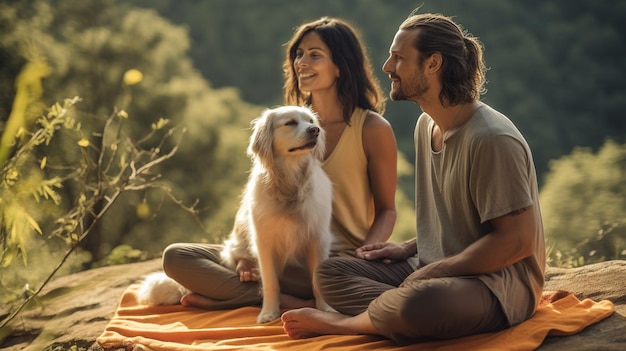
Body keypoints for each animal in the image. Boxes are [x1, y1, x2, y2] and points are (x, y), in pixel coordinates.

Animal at [222, 105, 334, 324]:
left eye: (311, 121)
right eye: (290, 123)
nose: (315, 130)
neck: (290, 182)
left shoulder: (318, 239)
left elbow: (318, 280)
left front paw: (325, 308)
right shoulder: (264, 243)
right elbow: (270, 283)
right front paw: (269, 312)